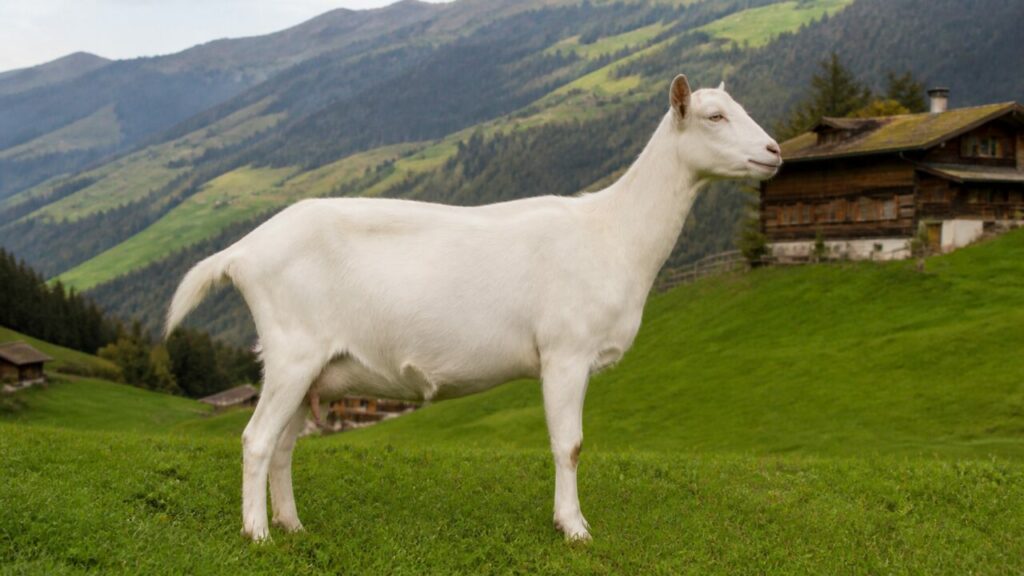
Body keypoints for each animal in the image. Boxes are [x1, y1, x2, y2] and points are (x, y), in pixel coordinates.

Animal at [166, 75, 781, 542]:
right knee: (256, 441)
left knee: (283, 447)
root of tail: (243, 251)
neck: (612, 233)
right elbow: (570, 445)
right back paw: (258, 535)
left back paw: (292, 526)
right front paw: (574, 528)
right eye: (714, 116)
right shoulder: (565, 353)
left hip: (310, 368)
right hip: (293, 352)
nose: (774, 151)